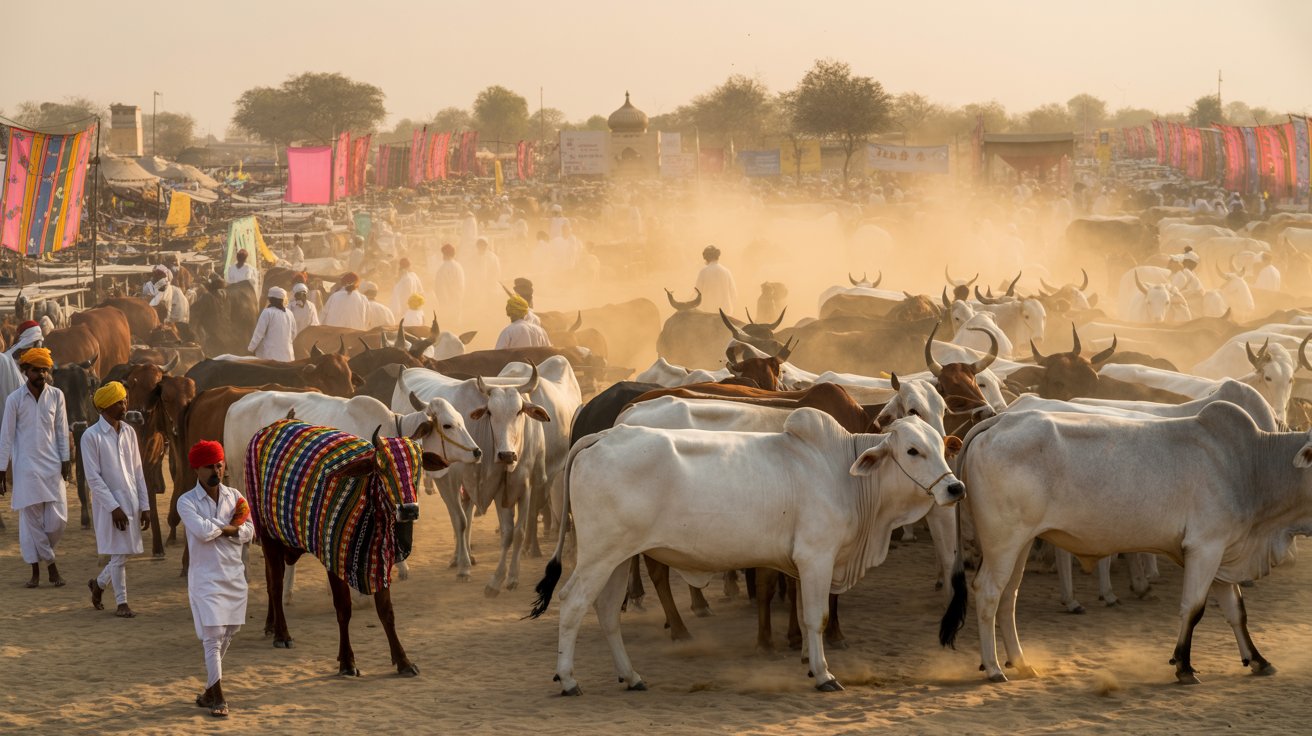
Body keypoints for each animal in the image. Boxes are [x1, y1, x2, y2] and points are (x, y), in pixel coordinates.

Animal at [248, 420, 449, 676]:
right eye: (380, 467)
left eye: (418, 466)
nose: (409, 510)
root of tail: (269, 427)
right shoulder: (334, 559)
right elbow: (344, 610)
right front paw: (347, 661)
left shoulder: (380, 561)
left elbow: (387, 612)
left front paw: (403, 661)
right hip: (268, 534)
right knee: (275, 585)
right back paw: (282, 634)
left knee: (270, 579)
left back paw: (271, 625)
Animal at [527, 409, 964, 694]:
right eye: (912, 451)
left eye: (941, 446)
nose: (954, 487)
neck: (843, 473)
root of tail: (602, 436)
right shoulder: (817, 557)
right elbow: (817, 617)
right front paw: (824, 675)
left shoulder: (802, 565)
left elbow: (802, 615)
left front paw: (808, 663)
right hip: (599, 555)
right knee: (572, 603)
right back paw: (569, 679)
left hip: (618, 558)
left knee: (605, 610)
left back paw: (631, 676)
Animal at [941, 402, 1312, 685]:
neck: (1250, 465)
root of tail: (999, 420)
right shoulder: (1205, 547)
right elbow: (1193, 608)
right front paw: (1184, 666)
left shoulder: (1222, 554)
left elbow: (1236, 611)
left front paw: (1258, 660)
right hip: (1003, 543)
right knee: (989, 592)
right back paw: (993, 668)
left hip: (1020, 543)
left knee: (1009, 595)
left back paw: (1020, 662)